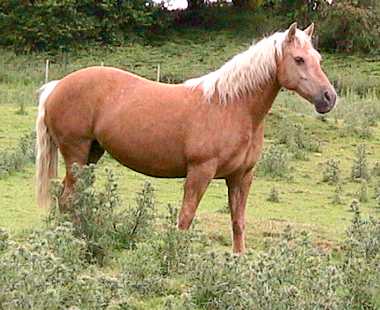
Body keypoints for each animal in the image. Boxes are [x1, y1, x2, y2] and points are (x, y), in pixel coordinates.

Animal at [37, 23, 336, 253]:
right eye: (299, 59)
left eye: (318, 59)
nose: (329, 98)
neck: (231, 106)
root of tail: (57, 86)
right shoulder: (200, 172)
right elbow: (186, 218)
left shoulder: (241, 177)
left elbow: (238, 222)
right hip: (76, 154)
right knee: (67, 199)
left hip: (92, 154)